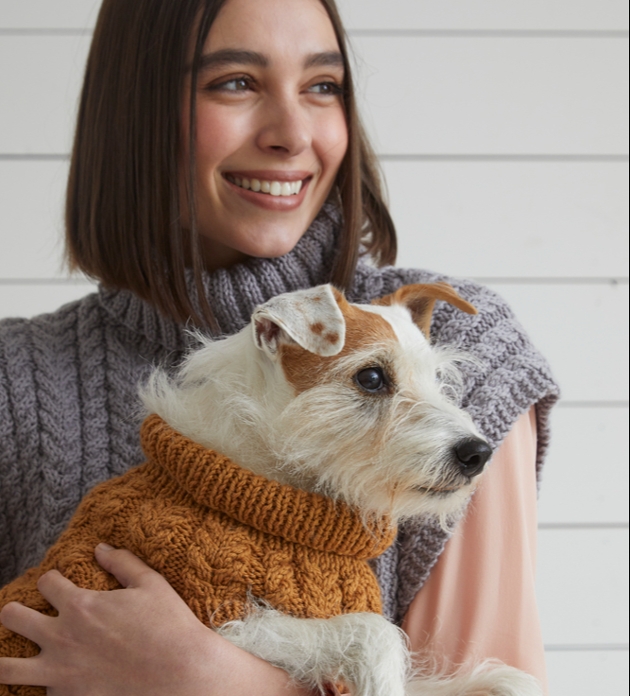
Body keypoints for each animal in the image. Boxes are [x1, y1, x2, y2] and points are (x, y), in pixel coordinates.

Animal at [143, 282, 544, 696]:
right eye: (371, 378)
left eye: (436, 377)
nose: (478, 453)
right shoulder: (221, 615)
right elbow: (372, 631)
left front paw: (502, 682)